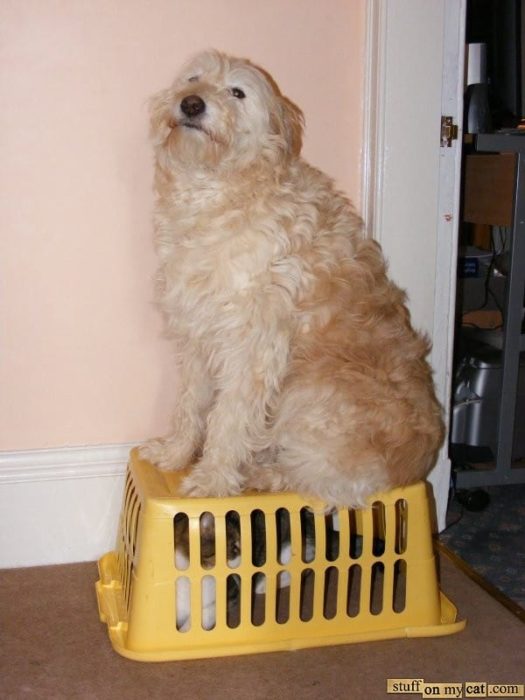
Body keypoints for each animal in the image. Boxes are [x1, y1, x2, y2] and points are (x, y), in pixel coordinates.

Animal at [139, 50, 442, 508]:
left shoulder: (252, 345)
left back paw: (260, 475)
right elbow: (191, 404)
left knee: (322, 481)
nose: (191, 104)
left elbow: (229, 418)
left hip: (307, 391)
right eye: (193, 79)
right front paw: (175, 453)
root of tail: (413, 469)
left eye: (237, 92)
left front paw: (211, 480)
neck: (216, 190)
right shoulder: (198, 332)